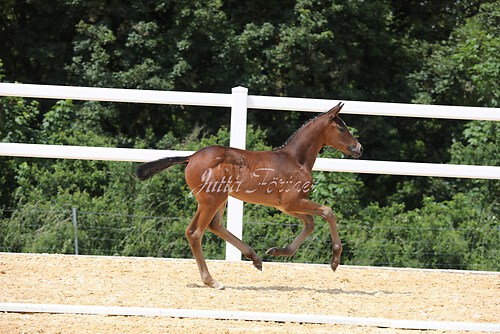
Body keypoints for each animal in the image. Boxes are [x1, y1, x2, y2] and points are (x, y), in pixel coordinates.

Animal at [137, 103, 364, 288]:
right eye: (342, 128)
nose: (359, 148)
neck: (295, 159)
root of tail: (191, 157)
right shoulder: (293, 202)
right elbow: (328, 212)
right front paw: (335, 260)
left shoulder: (286, 206)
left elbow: (309, 224)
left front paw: (277, 251)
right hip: (211, 200)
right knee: (195, 233)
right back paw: (212, 281)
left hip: (218, 199)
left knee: (214, 225)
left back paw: (254, 257)